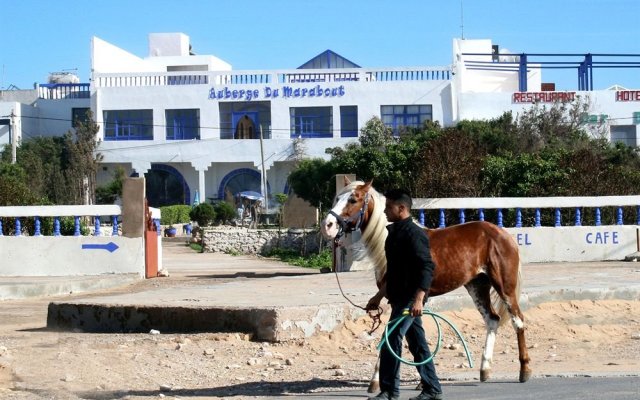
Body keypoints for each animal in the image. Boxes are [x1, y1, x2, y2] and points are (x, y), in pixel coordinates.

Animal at [318, 179, 528, 390]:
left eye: (353, 199)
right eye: (337, 198)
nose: (327, 226)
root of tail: (503, 234)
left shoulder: (402, 298)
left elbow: (392, 334)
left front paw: (376, 381)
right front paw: (421, 380)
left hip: (505, 287)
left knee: (518, 321)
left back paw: (524, 370)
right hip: (477, 286)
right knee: (492, 319)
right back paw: (485, 370)